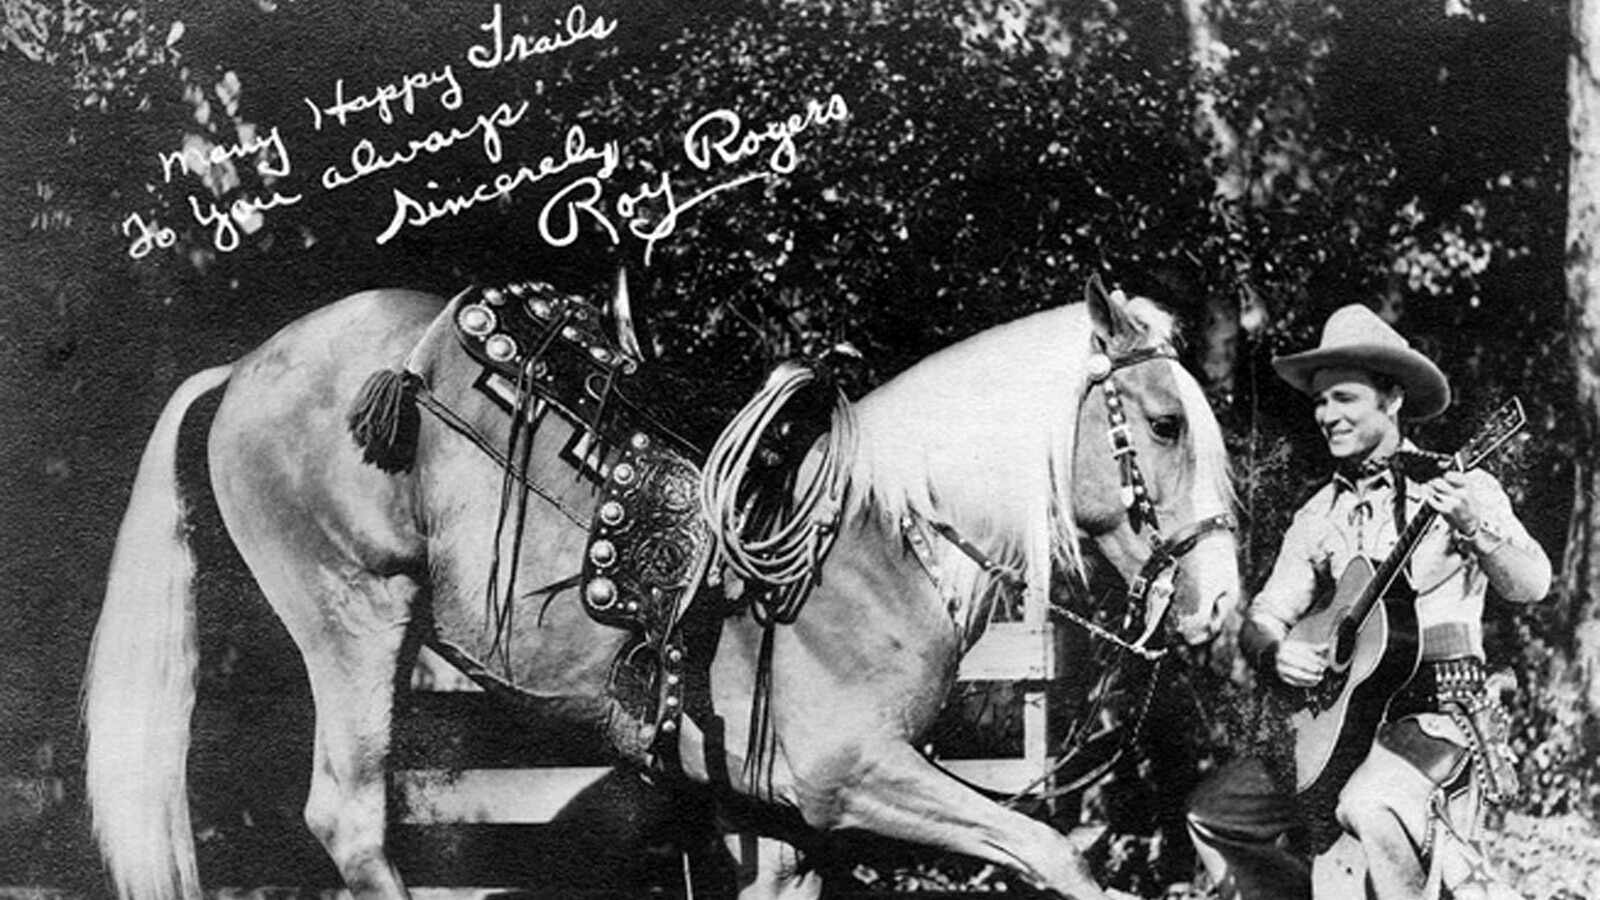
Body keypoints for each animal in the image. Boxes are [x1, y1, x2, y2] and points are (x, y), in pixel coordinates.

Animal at [83, 275, 1239, 900]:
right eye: (1164, 423)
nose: (1224, 606)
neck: (880, 541)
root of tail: (246, 367)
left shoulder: (787, 820)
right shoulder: (857, 775)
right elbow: (1052, 853)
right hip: (356, 615)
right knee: (351, 822)